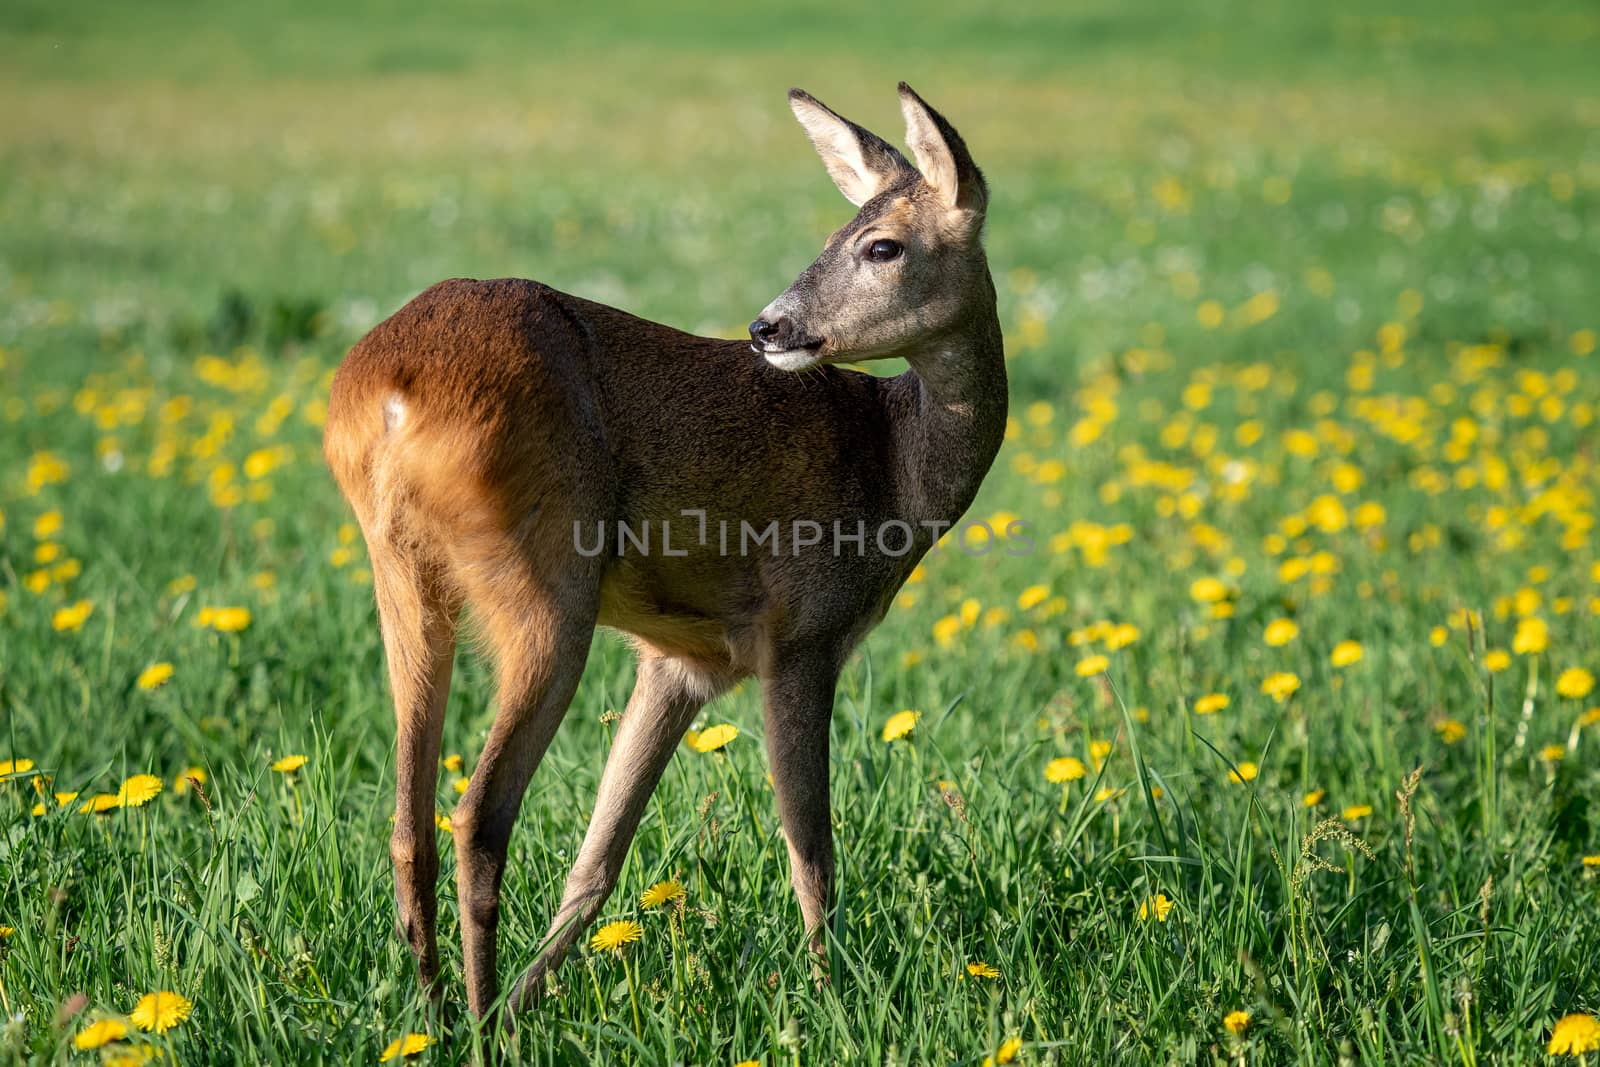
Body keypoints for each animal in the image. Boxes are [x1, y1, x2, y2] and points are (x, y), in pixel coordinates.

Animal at [320, 83, 1004, 1017]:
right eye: (844, 235)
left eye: (880, 242)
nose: (768, 327)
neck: (894, 469)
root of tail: (388, 391)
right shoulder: (802, 631)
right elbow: (813, 853)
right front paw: (833, 1000)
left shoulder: (682, 659)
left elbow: (598, 860)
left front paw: (538, 992)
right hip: (547, 585)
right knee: (478, 812)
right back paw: (480, 1018)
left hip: (402, 577)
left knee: (406, 818)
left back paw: (438, 1010)